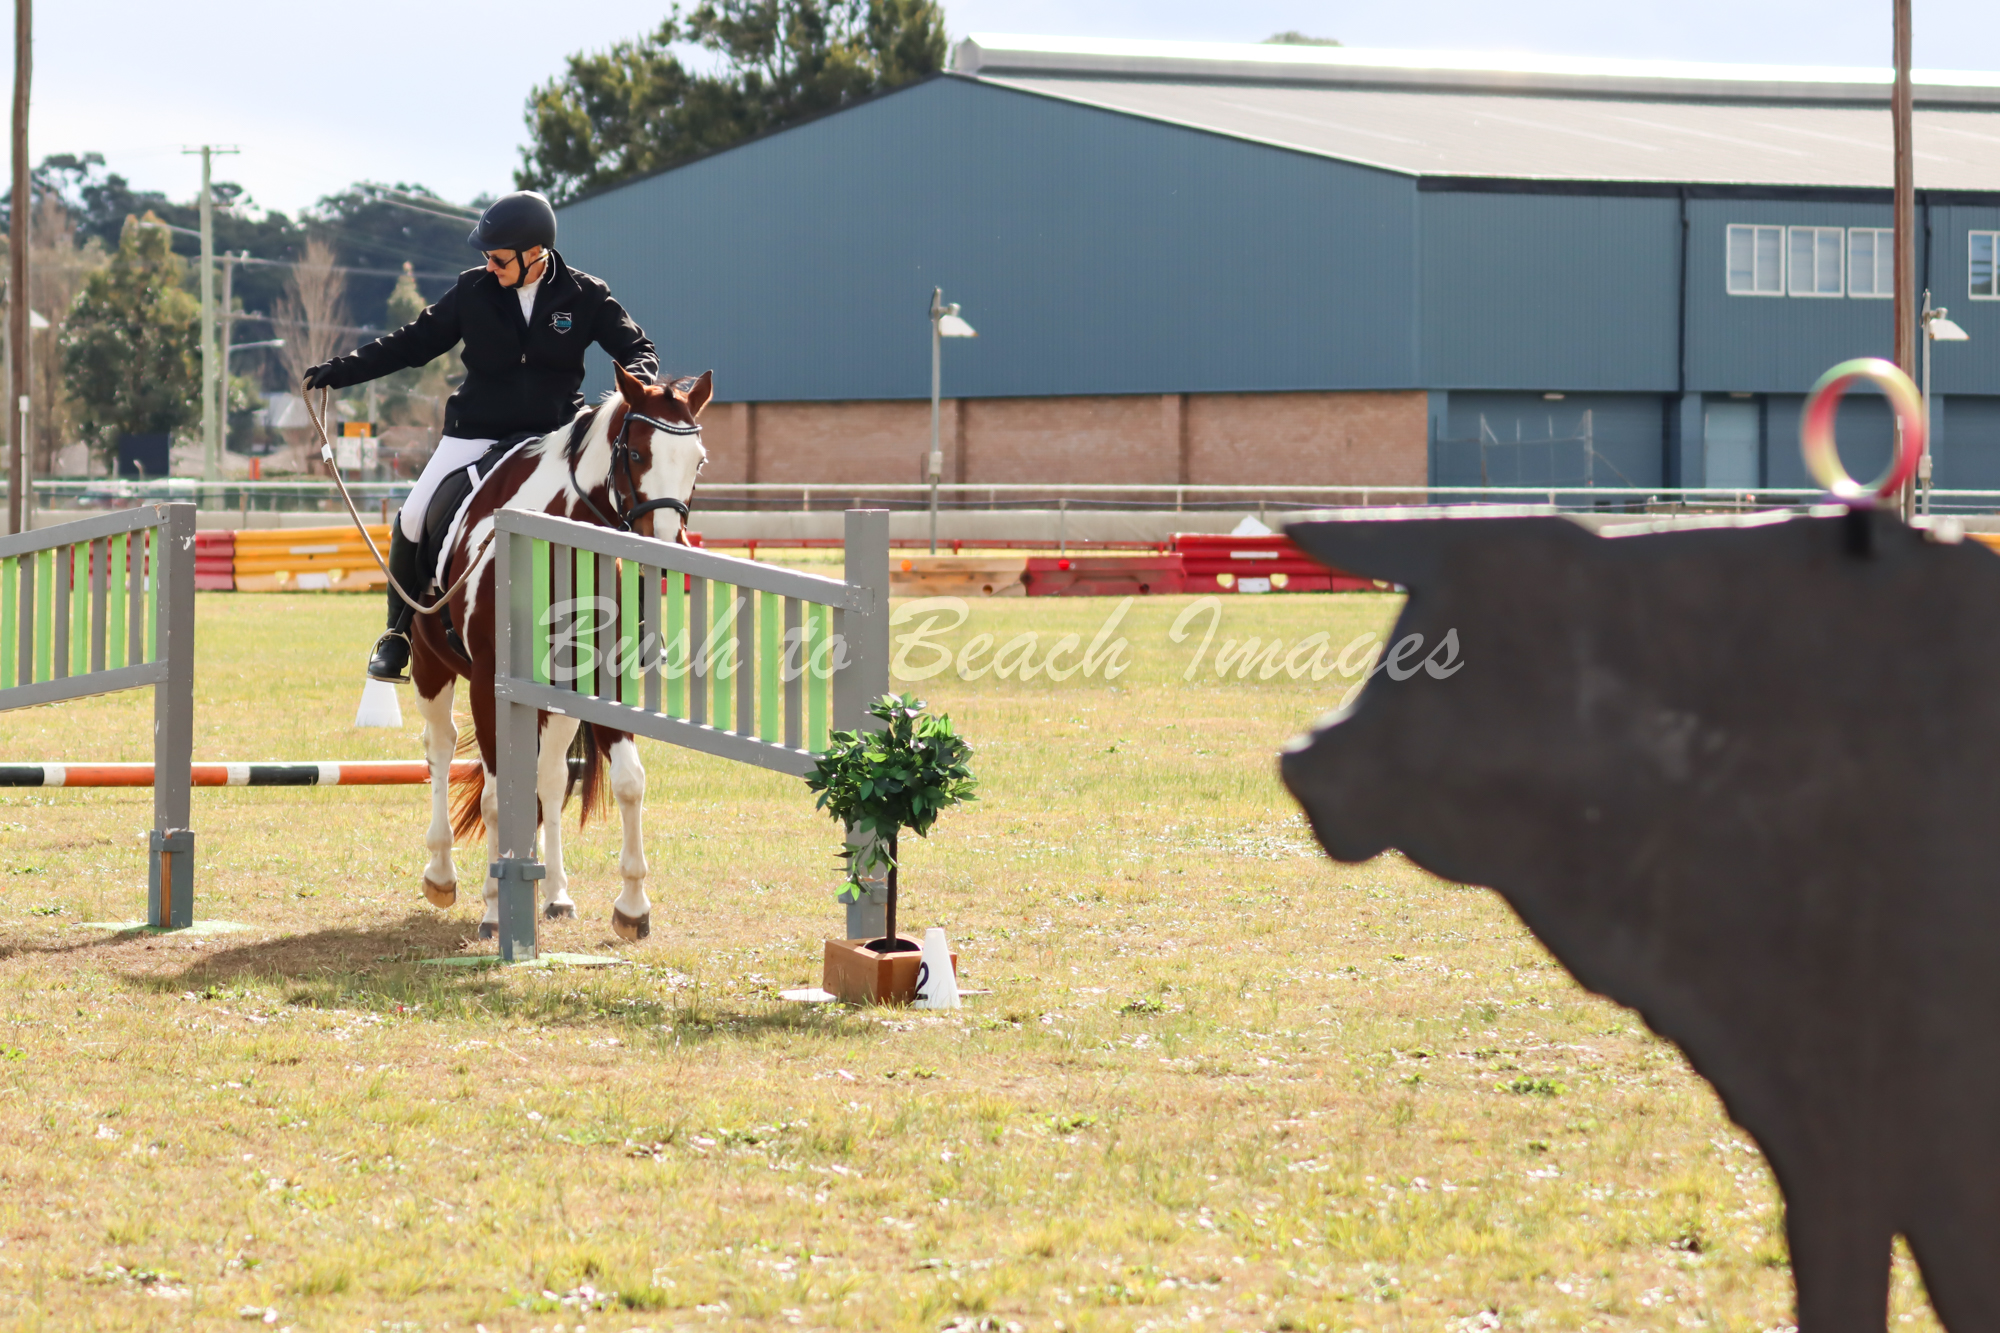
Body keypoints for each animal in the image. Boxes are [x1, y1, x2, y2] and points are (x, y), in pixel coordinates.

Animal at [408, 364, 711, 943]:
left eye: (697, 460)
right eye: (636, 453)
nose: (666, 551)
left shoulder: (599, 679)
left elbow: (628, 782)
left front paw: (632, 906)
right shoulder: (488, 683)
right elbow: (496, 797)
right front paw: (494, 908)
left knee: (548, 777)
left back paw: (555, 894)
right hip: (431, 663)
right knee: (440, 748)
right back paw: (440, 873)